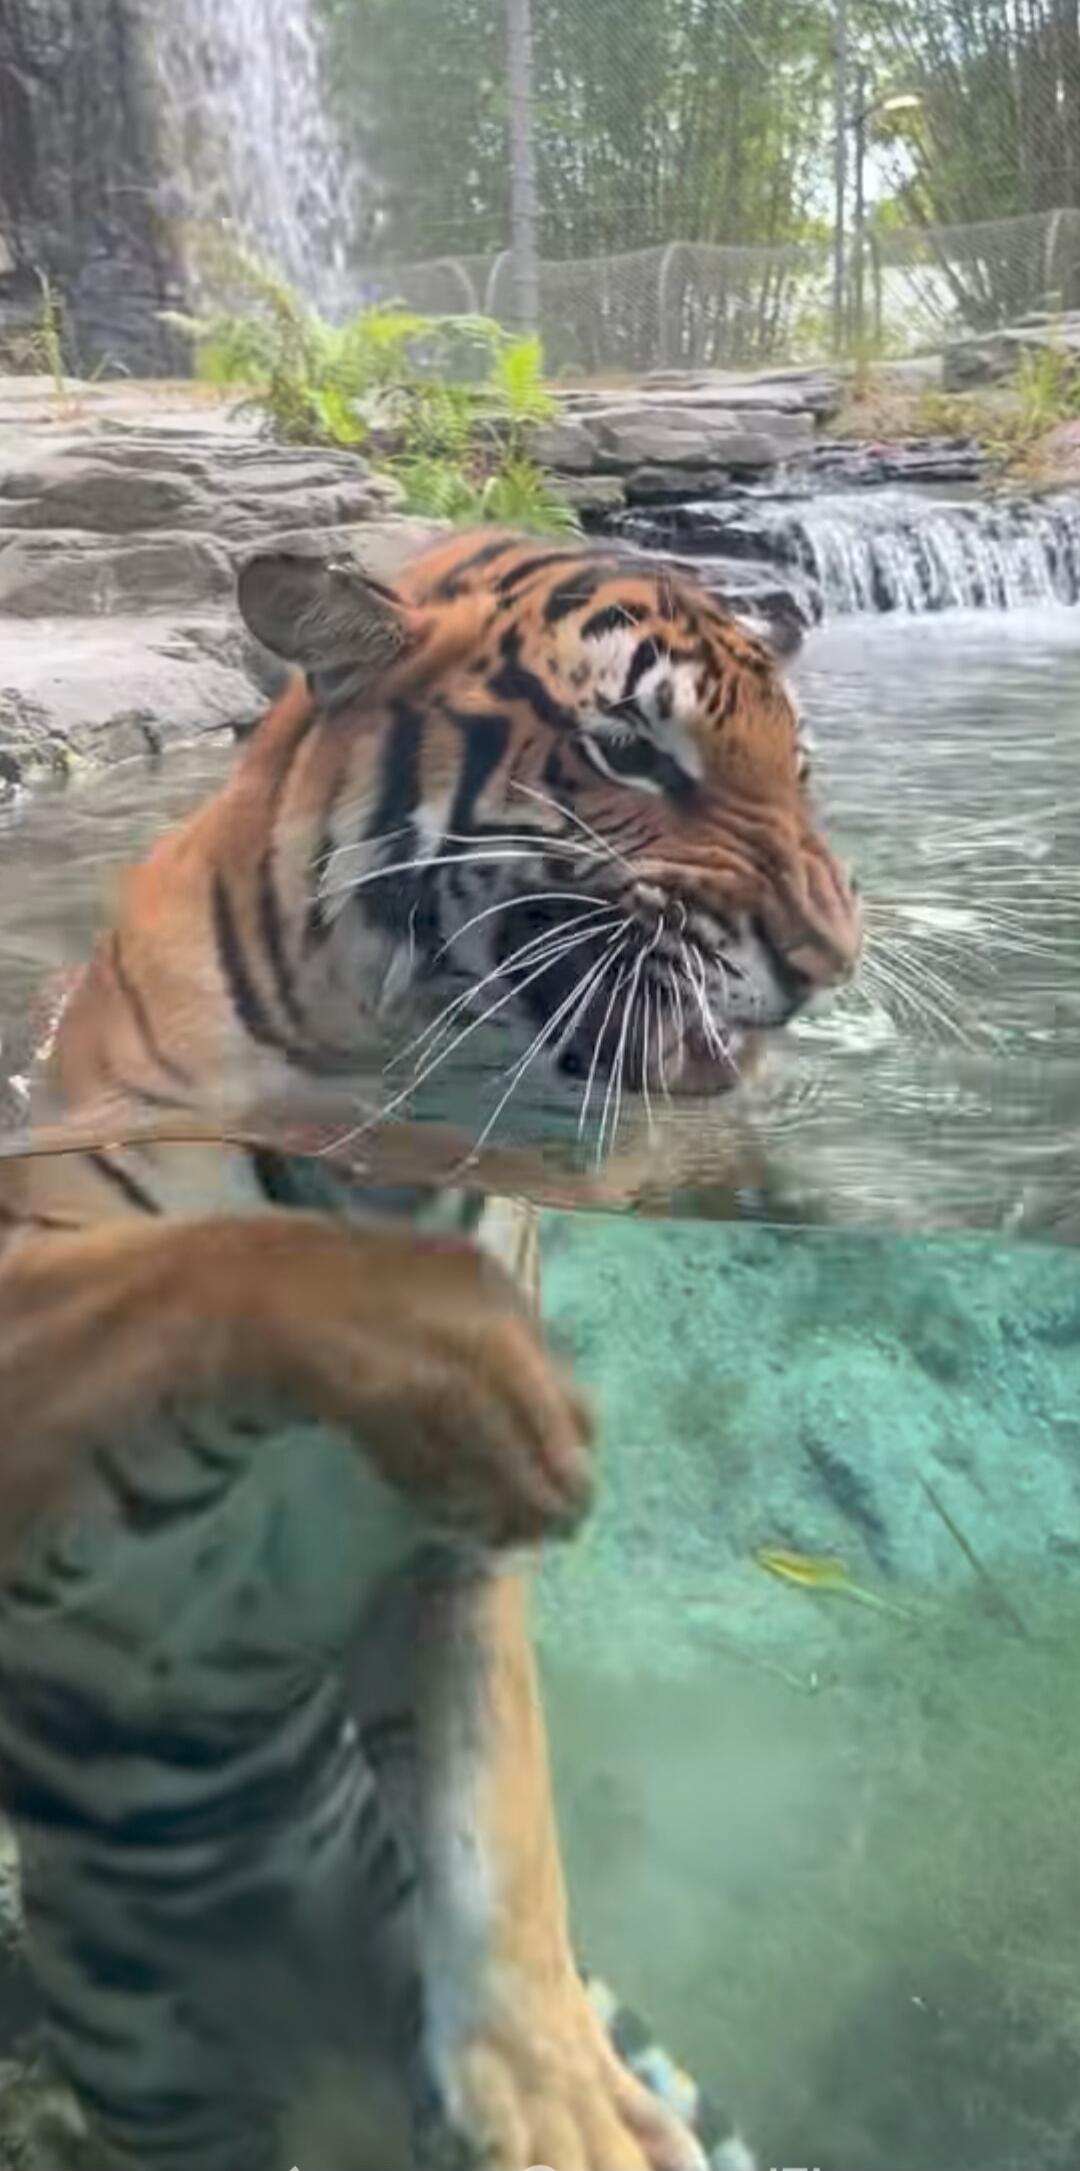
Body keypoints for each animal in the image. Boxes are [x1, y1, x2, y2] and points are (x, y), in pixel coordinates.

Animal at [0, 526, 860, 2171]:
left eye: (798, 763)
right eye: (629, 752)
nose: (830, 958)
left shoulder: (444, 1572)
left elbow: (493, 1819)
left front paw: (557, 2098)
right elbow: (222, 1264)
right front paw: (482, 1370)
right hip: (151, 2066)